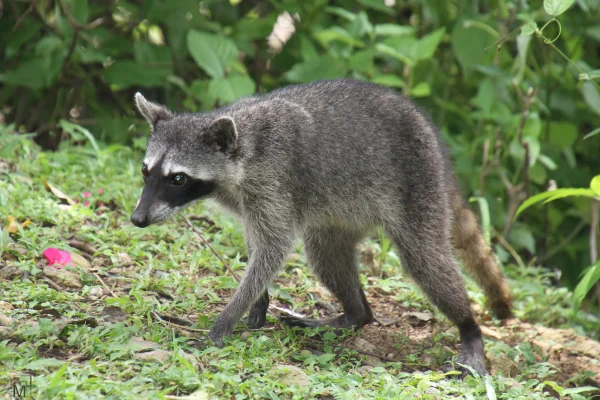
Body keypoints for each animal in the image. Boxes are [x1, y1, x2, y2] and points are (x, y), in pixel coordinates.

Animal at [130, 79, 510, 378]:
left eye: (177, 179)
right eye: (146, 171)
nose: (137, 219)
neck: (241, 152)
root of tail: (433, 137)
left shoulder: (274, 179)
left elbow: (274, 247)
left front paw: (227, 318)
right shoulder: (246, 199)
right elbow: (258, 243)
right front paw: (258, 299)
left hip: (418, 182)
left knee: (425, 259)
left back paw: (469, 329)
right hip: (344, 213)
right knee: (325, 253)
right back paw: (355, 313)